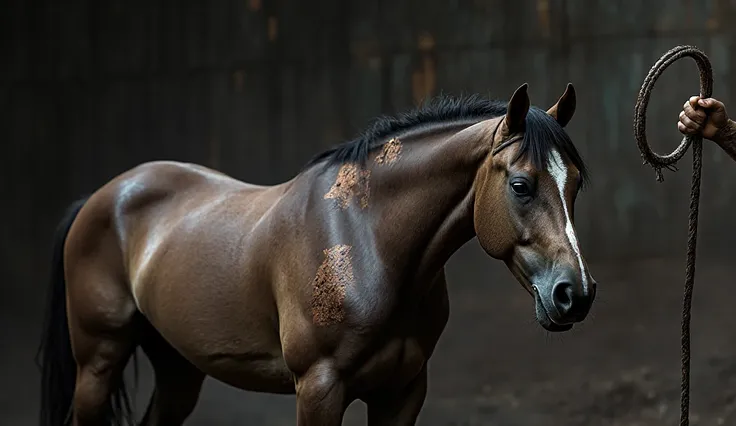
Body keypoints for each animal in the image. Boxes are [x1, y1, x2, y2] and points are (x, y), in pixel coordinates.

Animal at [37, 83, 596, 426]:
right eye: (521, 186)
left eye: (575, 185)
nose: (576, 293)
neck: (368, 242)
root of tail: (103, 197)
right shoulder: (319, 389)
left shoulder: (402, 391)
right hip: (99, 361)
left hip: (177, 369)